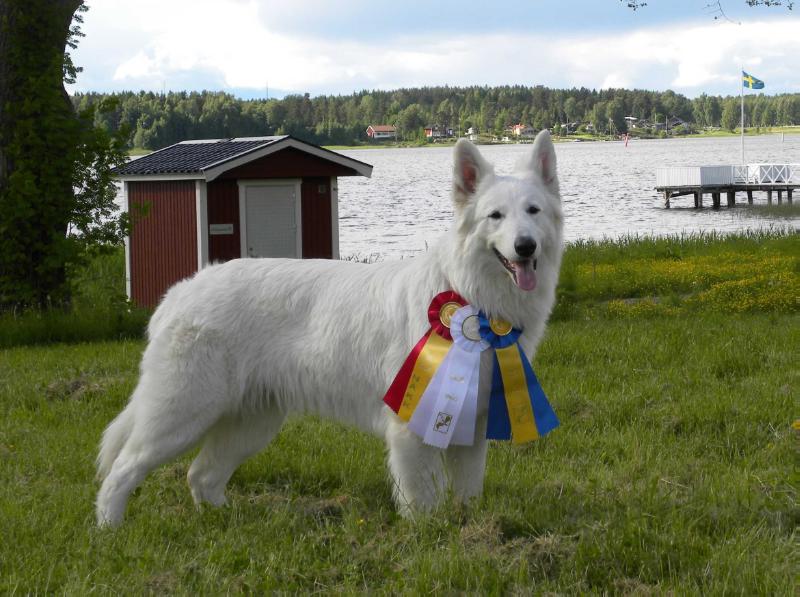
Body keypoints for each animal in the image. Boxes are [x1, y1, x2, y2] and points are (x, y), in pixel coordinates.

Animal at [95, 129, 564, 520]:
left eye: (533, 211)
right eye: (495, 216)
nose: (525, 247)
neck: (469, 293)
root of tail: (180, 291)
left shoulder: (473, 423)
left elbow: (468, 493)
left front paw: (469, 531)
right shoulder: (413, 428)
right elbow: (423, 500)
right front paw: (430, 538)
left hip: (251, 422)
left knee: (201, 476)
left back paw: (222, 522)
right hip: (182, 412)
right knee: (121, 471)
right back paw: (109, 531)